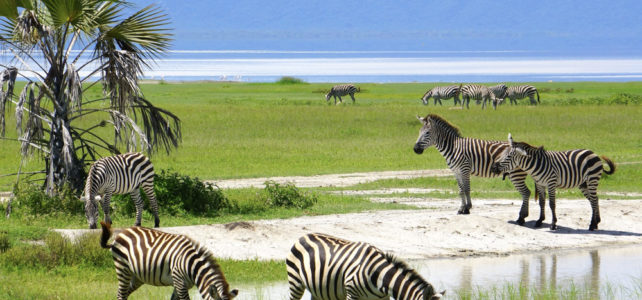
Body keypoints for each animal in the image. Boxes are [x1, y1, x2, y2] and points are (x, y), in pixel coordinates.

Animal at [100, 221, 238, 298]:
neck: (191, 265)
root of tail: (122, 233)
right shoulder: (179, 282)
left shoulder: (181, 285)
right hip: (122, 269)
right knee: (121, 294)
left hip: (137, 277)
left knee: (124, 294)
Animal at [286, 232, 442, 300]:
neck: (379, 276)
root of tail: (303, 236)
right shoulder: (351, 293)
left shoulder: (382, 299)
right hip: (296, 282)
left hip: (319, 289)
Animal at [410, 113, 540, 224]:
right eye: (419, 132)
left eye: (427, 133)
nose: (415, 149)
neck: (453, 147)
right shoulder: (456, 172)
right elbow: (461, 190)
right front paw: (461, 209)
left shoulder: (464, 169)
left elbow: (467, 189)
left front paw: (467, 209)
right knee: (526, 193)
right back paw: (522, 217)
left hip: (515, 174)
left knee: (526, 192)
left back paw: (521, 218)